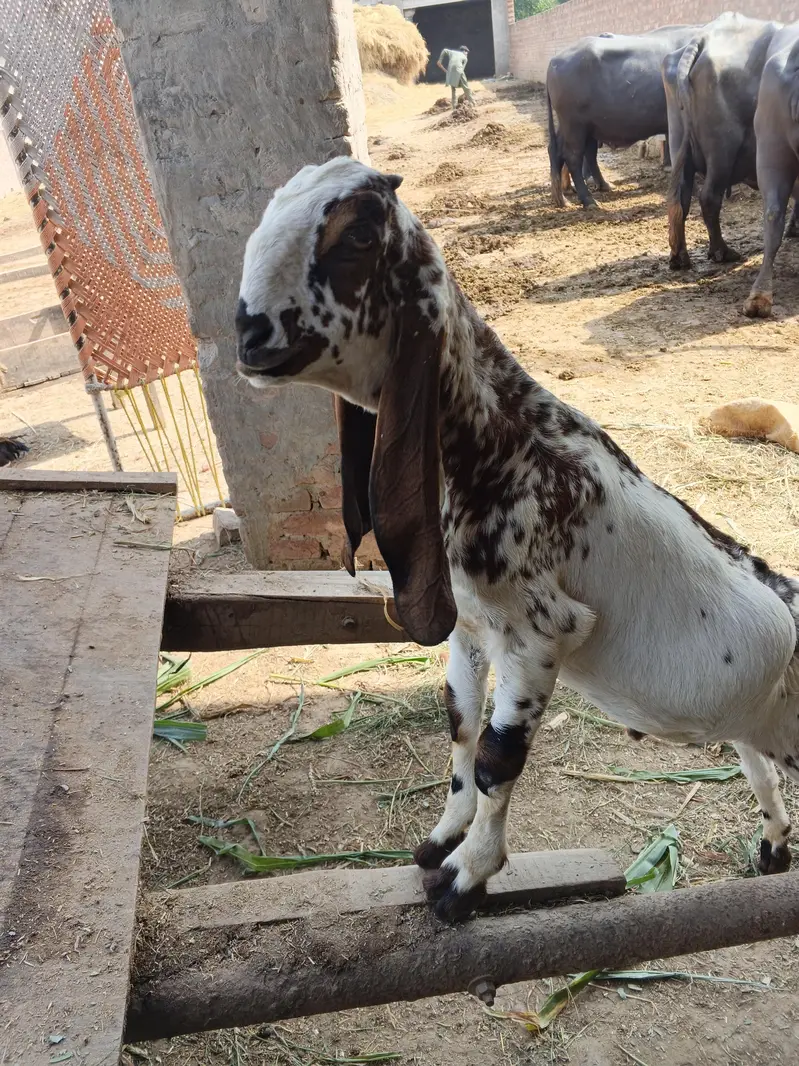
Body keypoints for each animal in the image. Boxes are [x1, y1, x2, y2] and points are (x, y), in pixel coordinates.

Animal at [236, 157, 799, 922]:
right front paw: (440, 841)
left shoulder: (542, 633)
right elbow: (459, 730)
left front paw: (466, 879)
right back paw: (772, 849)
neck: (501, 444)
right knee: (760, 767)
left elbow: (496, 762)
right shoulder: (468, 629)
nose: (247, 333)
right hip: (752, 724)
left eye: (355, 237)